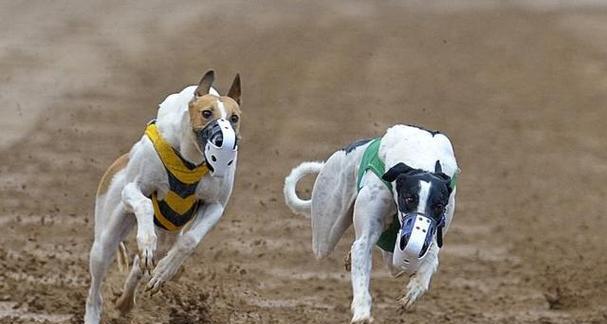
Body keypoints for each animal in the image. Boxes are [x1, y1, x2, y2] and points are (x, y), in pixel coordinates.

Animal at [85, 71, 242, 324]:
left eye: (234, 118)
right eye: (206, 113)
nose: (222, 141)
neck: (190, 159)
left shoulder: (214, 206)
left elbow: (189, 241)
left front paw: (163, 271)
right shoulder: (132, 189)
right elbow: (145, 203)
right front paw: (147, 241)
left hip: (167, 232)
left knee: (139, 265)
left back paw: (127, 301)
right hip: (105, 240)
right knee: (95, 293)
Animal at [284, 124, 460, 324]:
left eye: (438, 205)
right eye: (409, 198)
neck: (421, 155)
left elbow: (429, 258)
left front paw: (414, 290)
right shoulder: (368, 237)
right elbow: (362, 265)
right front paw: (361, 313)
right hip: (324, 236)